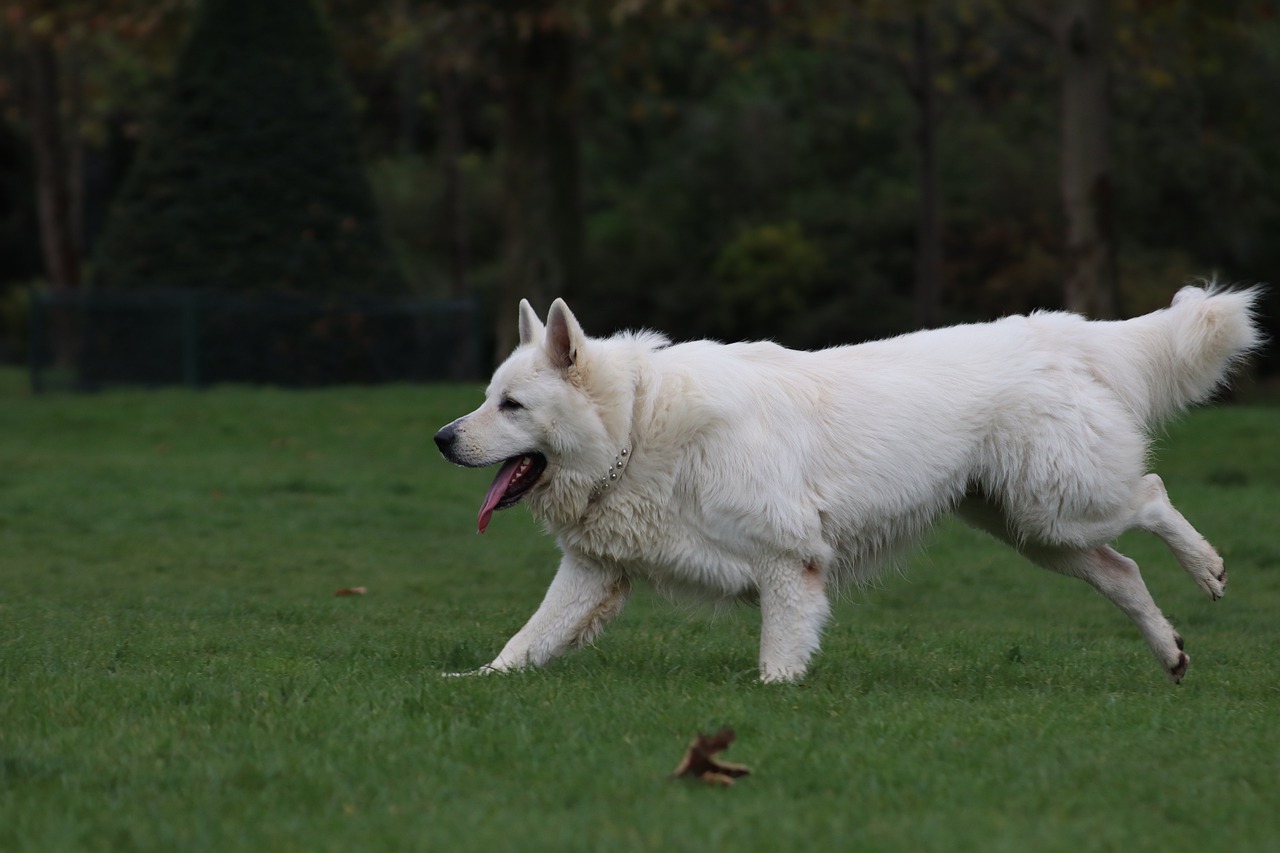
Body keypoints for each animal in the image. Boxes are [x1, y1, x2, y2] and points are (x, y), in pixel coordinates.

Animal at [437, 289, 1259, 681]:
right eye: (487, 397)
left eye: (512, 406)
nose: (442, 439)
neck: (638, 427)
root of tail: (1057, 331)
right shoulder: (592, 574)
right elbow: (524, 641)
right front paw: (469, 681)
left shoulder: (788, 562)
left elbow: (778, 658)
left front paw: (773, 700)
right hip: (1037, 530)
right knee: (1124, 572)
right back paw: (1171, 652)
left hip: (1063, 506)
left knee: (1151, 494)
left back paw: (1211, 571)